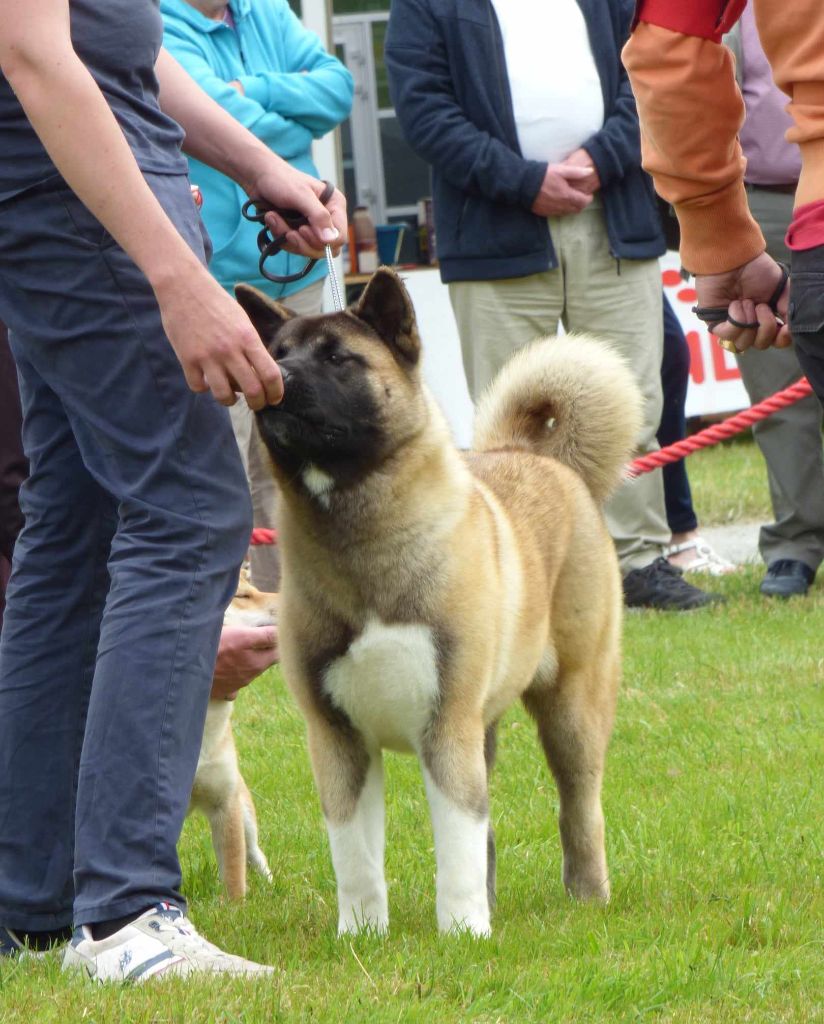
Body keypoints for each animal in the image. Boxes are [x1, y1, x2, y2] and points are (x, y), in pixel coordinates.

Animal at [234, 270, 638, 937]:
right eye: (277, 352)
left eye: (339, 358)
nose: (277, 382)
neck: (361, 539)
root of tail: (538, 455)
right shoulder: (337, 736)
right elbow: (356, 854)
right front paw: (362, 935)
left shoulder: (447, 723)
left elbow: (456, 842)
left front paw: (464, 934)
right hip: (487, 725)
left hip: (572, 706)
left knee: (580, 809)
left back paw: (588, 897)